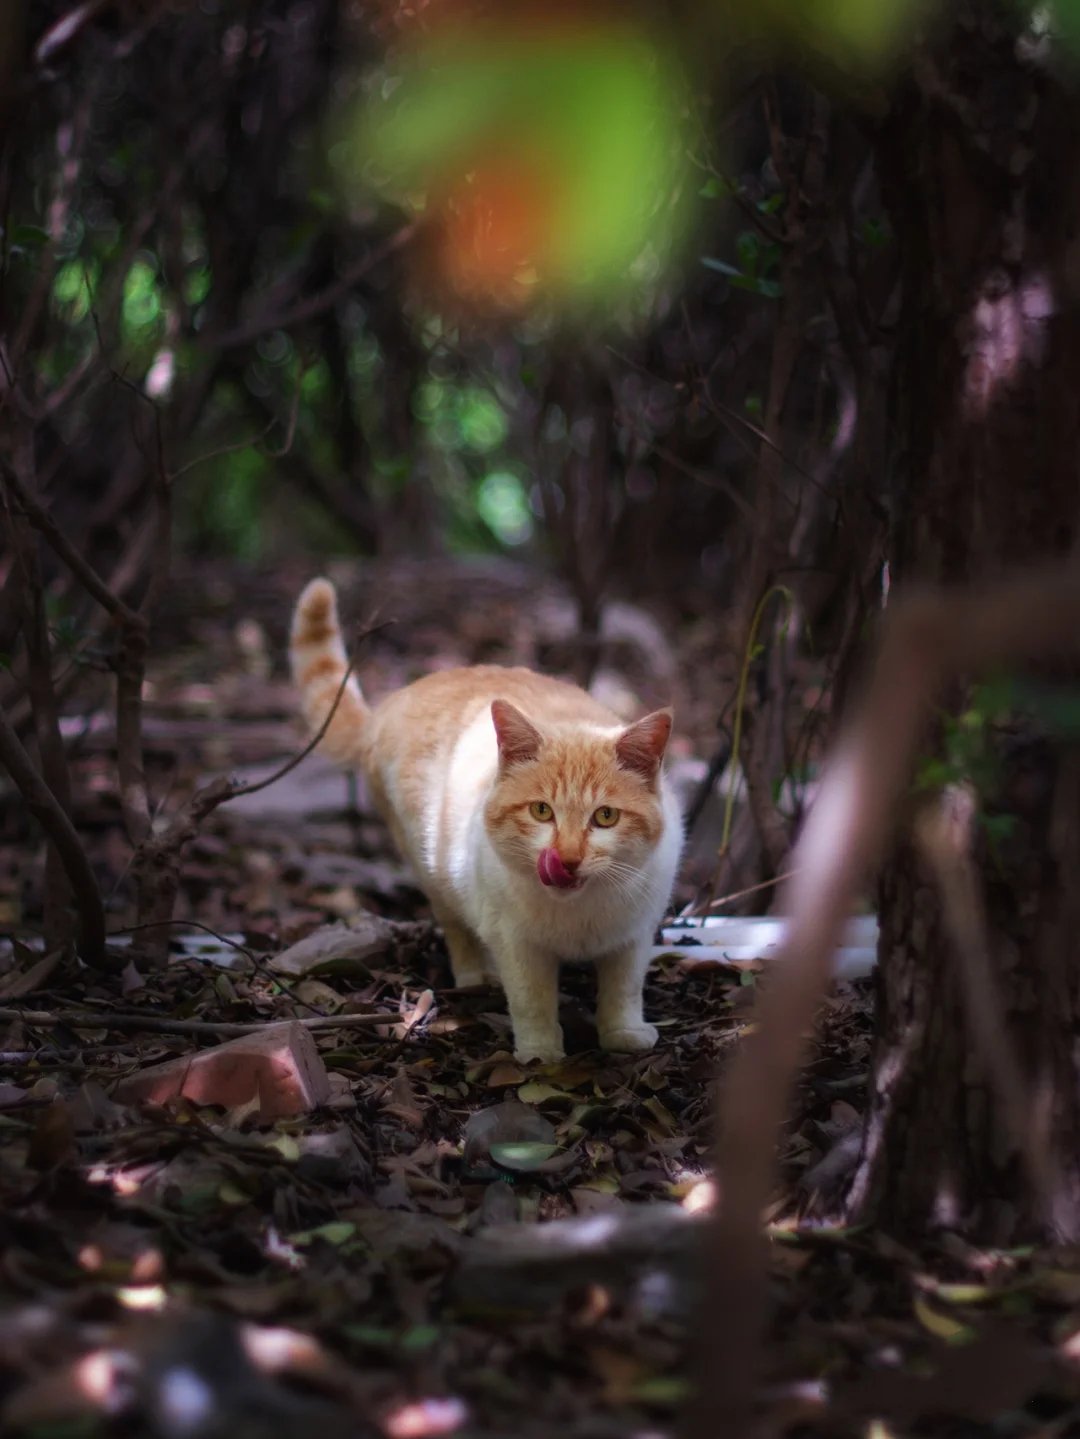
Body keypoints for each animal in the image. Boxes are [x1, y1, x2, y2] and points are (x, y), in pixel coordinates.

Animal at [291, 578, 678, 1064]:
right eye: (541, 811)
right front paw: (541, 1053)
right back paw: (478, 975)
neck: (578, 911)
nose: (566, 858)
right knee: (459, 929)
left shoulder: (634, 935)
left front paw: (622, 1034)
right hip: (432, 870)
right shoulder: (517, 942)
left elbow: (624, 988)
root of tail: (394, 701)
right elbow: (531, 999)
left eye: (605, 816)